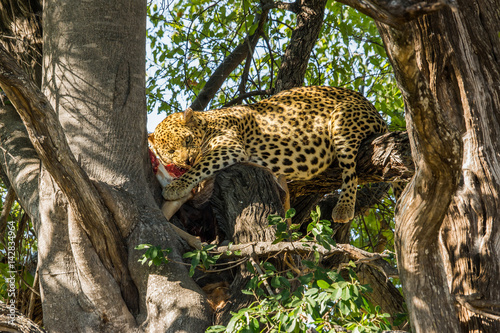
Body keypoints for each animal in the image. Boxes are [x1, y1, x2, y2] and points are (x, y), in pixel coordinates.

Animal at [150, 85, 388, 223]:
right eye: (170, 152)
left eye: (187, 140)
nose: (187, 159)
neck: (207, 121)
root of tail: (377, 113)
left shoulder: (230, 147)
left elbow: (201, 167)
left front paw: (176, 186)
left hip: (343, 120)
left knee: (351, 172)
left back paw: (344, 208)